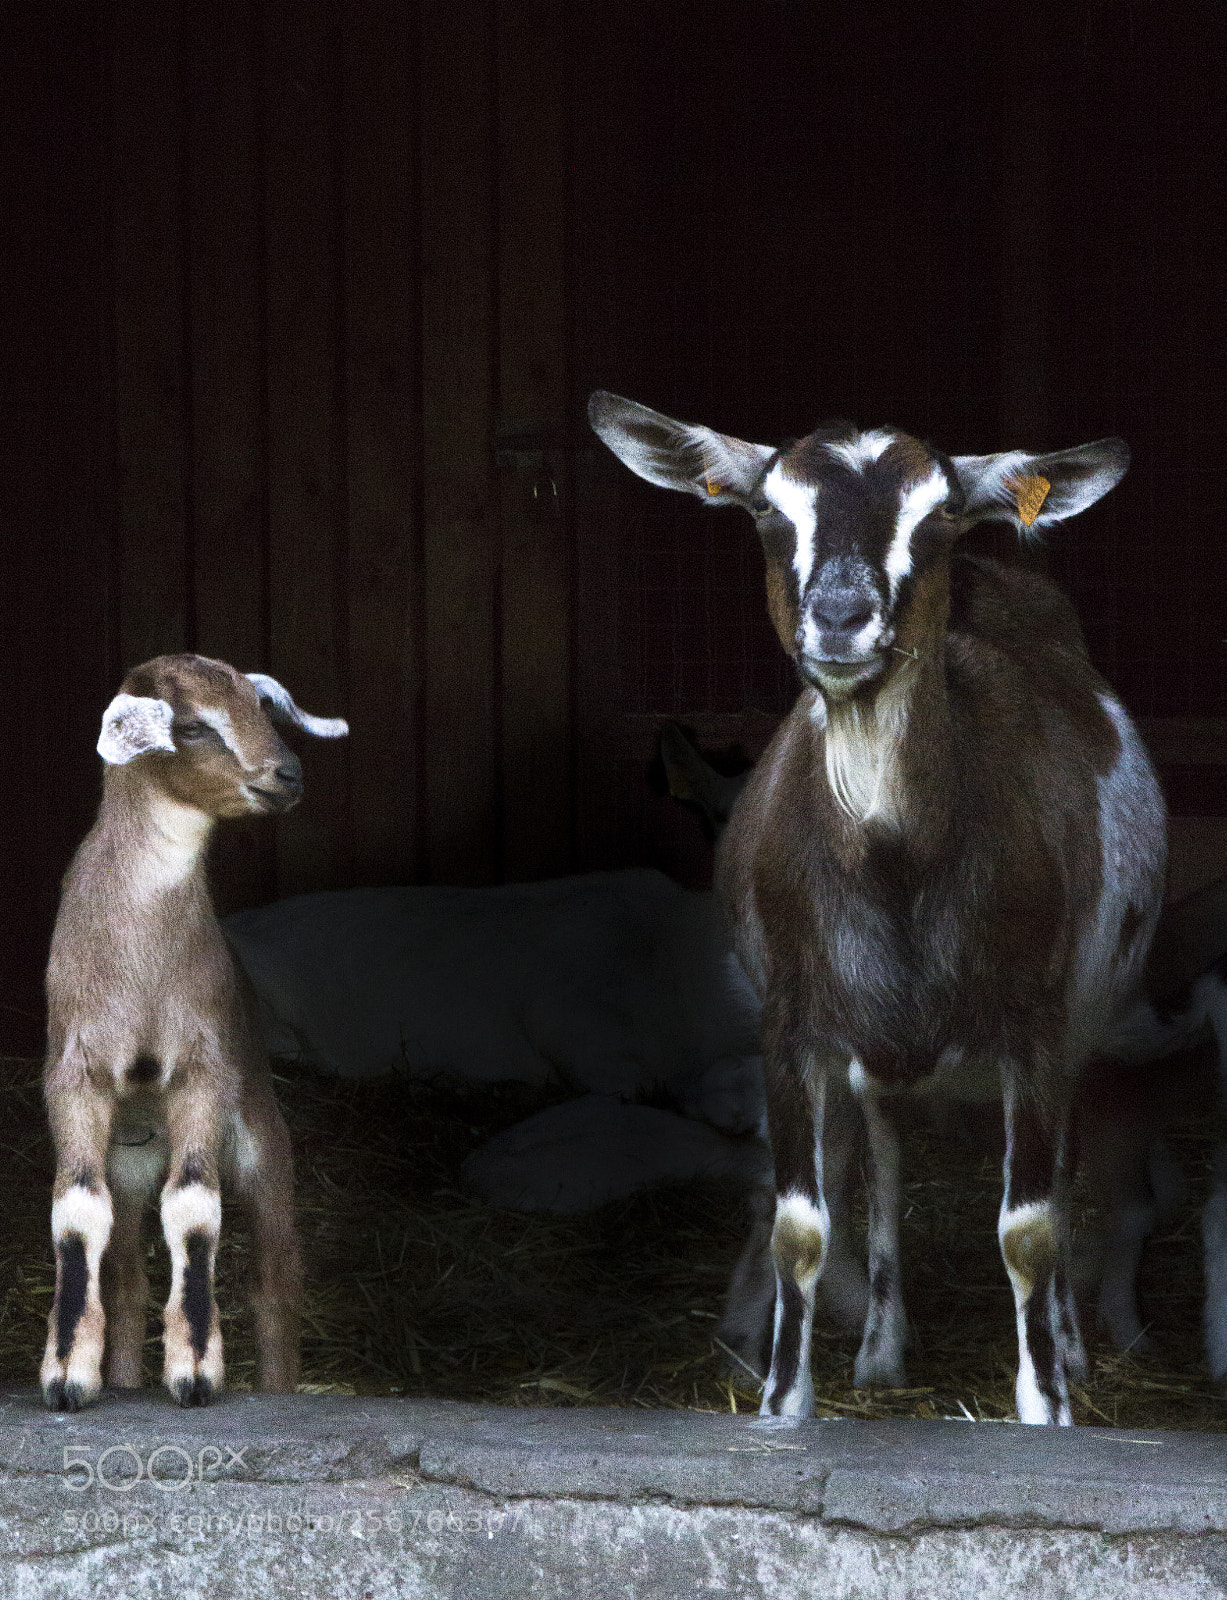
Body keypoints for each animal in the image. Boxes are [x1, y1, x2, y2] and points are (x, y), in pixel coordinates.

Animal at [40, 653, 347, 1410]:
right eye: (193, 726)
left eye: (258, 707)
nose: (287, 774)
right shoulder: (75, 1076)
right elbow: (78, 1211)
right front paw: (66, 1376)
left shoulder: (203, 1072)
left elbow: (193, 1206)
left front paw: (197, 1370)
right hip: (130, 1158)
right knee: (125, 1275)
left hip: (264, 1141)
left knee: (274, 1278)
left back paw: (278, 1387)